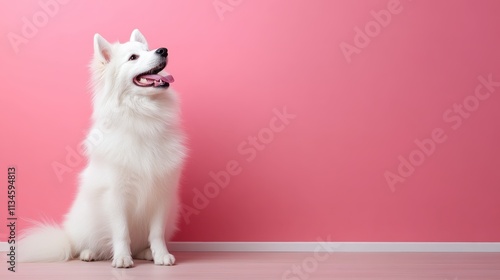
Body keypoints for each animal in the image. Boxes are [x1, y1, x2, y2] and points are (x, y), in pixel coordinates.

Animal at [18, 29, 188, 268]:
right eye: (133, 57)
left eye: (148, 50)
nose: (163, 50)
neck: (143, 116)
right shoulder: (116, 194)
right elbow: (121, 232)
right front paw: (123, 258)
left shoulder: (161, 195)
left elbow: (156, 233)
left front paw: (161, 255)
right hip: (85, 221)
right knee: (83, 245)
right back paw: (90, 253)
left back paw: (145, 252)